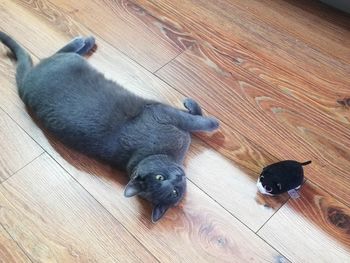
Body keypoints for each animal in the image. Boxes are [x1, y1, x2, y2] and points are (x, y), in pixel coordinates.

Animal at [0, 32, 219, 223]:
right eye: (161, 178)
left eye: (174, 190)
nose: (178, 177)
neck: (159, 155)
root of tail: (24, 86)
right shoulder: (162, 113)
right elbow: (198, 122)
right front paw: (214, 122)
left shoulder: (164, 112)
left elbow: (193, 117)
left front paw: (191, 106)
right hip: (68, 63)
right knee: (60, 53)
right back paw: (85, 40)